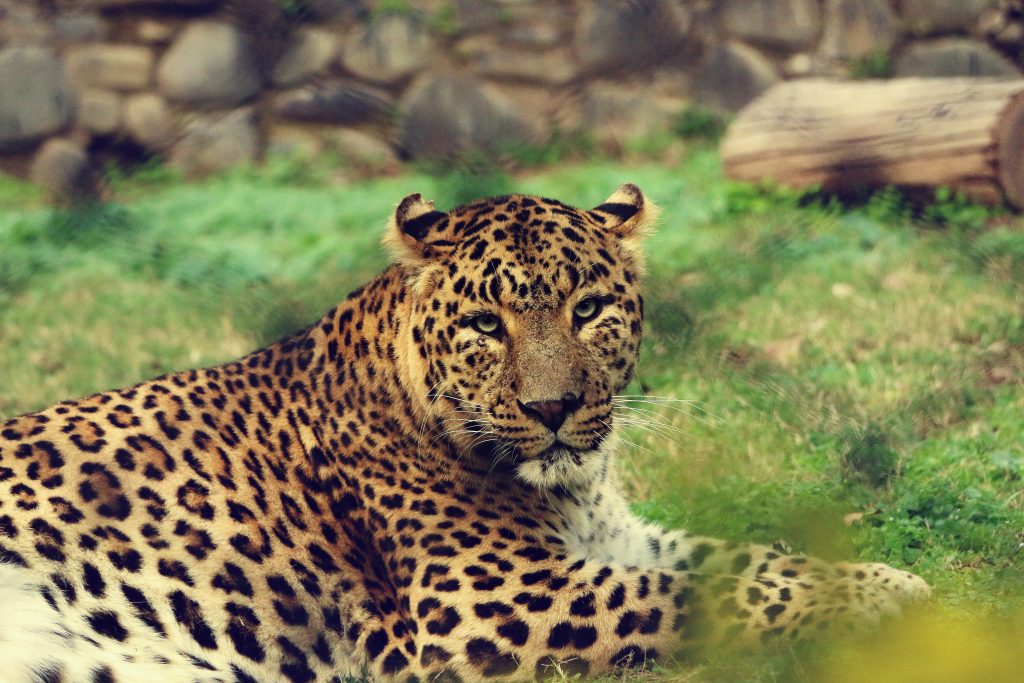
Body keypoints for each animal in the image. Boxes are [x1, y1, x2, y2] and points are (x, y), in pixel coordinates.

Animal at [0, 185, 929, 683]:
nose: (554, 407)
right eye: (487, 323)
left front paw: (884, 577)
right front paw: (880, 602)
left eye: (588, 308)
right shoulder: (484, 603)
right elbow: (696, 596)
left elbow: (747, 559)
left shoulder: (618, 537)